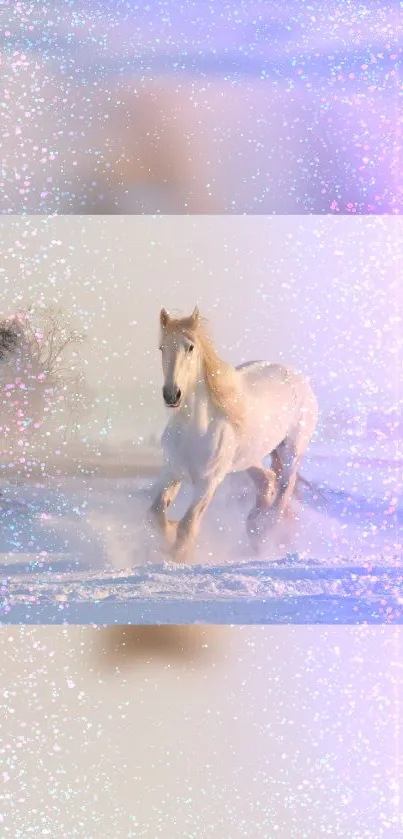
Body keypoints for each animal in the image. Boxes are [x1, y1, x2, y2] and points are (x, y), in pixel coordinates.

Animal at [148, 306, 318, 560]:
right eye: (162, 348)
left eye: (190, 347)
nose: (171, 394)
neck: (195, 429)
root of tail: (297, 377)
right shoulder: (171, 471)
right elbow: (156, 513)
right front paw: (167, 535)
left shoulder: (208, 483)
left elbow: (187, 527)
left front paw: (177, 557)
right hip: (248, 458)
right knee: (267, 480)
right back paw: (255, 528)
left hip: (291, 452)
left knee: (283, 491)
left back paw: (264, 534)